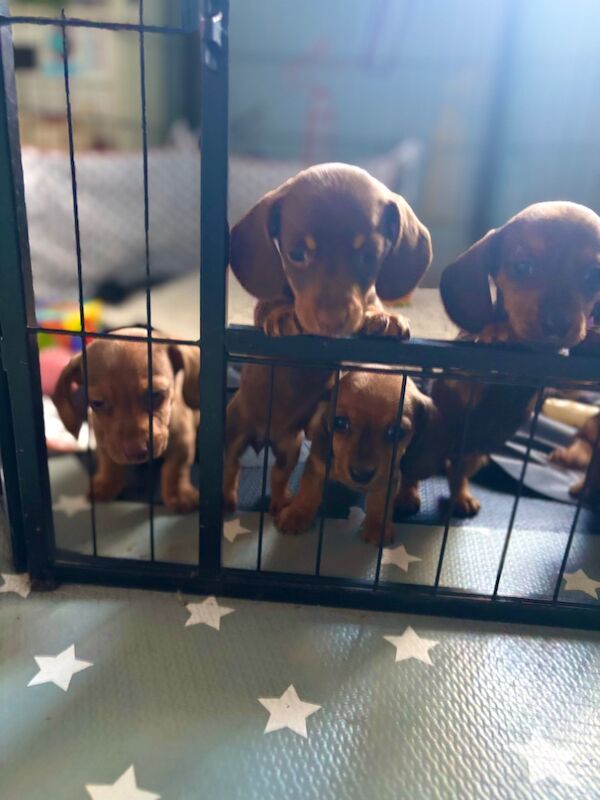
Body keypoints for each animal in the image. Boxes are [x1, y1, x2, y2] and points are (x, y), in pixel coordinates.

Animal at [52, 330, 202, 512]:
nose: (136, 451)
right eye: (97, 403)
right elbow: (109, 463)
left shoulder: (182, 440)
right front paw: (106, 484)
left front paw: (178, 495)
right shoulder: (104, 441)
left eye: (156, 394)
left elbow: (176, 469)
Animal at [224, 164, 432, 512]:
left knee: (278, 476)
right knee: (231, 465)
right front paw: (283, 315)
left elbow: (372, 305)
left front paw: (383, 318)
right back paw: (227, 498)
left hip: (290, 447)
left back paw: (281, 503)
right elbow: (270, 306)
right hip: (234, 431)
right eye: (296, 254)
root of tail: (263, 438)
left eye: (370, 256)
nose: (332, 322)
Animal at [274, 372, 434, 548]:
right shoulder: (318, 460)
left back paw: (407, 497)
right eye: (339, 422)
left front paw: (377, 526)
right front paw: (296, 514)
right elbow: (308, 489)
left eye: (397, 432)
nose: (361, 474)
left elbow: (381, 500)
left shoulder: (388, 474)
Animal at [398, 202, 600, 520]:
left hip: (475, 455)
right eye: (522, 267)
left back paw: (461, 498)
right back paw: (406, 497)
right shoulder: (459, 380)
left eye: (594, 276)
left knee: (457, 476)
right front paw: (498, 331)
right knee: (411, 475)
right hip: (422, 451)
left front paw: (591, 339)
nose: (557, 324)